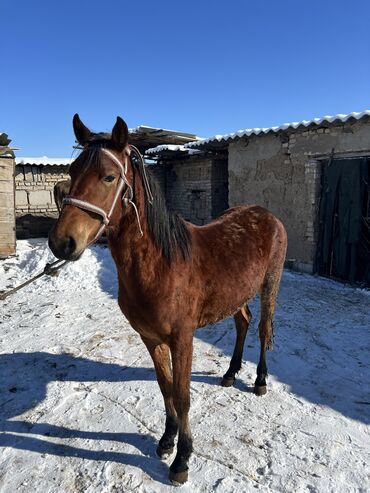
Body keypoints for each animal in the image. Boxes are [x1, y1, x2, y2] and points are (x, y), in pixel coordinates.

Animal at [47, 113, 288, 482]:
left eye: (109, 176)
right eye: (72, 171)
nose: (62, 243)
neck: (161, 264)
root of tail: (268, 215)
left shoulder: (182, 339)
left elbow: (183, 394)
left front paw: (182, 459)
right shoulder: (151, 338)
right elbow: (166, 388)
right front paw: (166, 441)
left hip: (269, 285)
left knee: (263, 329)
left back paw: (259, 380)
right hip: (237, 295)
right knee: (243, 323)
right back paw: (230, 374)